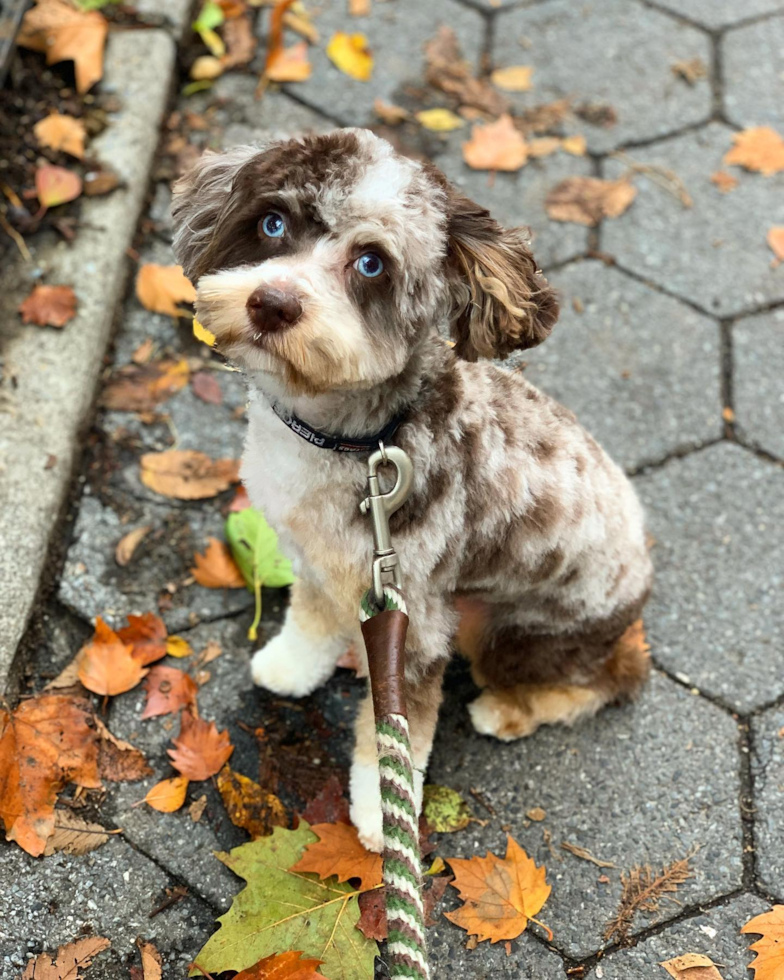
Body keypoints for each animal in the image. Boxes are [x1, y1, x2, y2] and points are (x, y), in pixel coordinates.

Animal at [173, 128, 656, 848]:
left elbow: (395, 732)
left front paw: (382, 816)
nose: (273, 303)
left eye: (372, 264)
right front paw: (290, 668)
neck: (357, 438)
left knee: (607, 681)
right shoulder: (324, 564)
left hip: (511, 632)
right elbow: (311, 623)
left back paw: (507, 712)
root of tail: (642, 580)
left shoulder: (419, 619)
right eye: (273, 223)